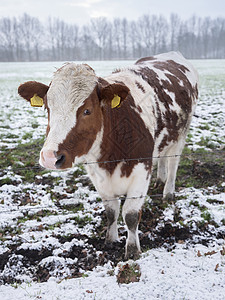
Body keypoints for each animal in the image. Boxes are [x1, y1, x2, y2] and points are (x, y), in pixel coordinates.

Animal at [18, 51, 198, 258]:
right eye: (48, 108)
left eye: (87, 110)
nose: (49, 157)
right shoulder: (98, 176)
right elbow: (111, 211)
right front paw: (110, 239)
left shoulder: (141, 172)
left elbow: (130, 215)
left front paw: (132, 250)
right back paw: (160, 180)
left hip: (181, 135)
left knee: (173, 163)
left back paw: (168, 192)